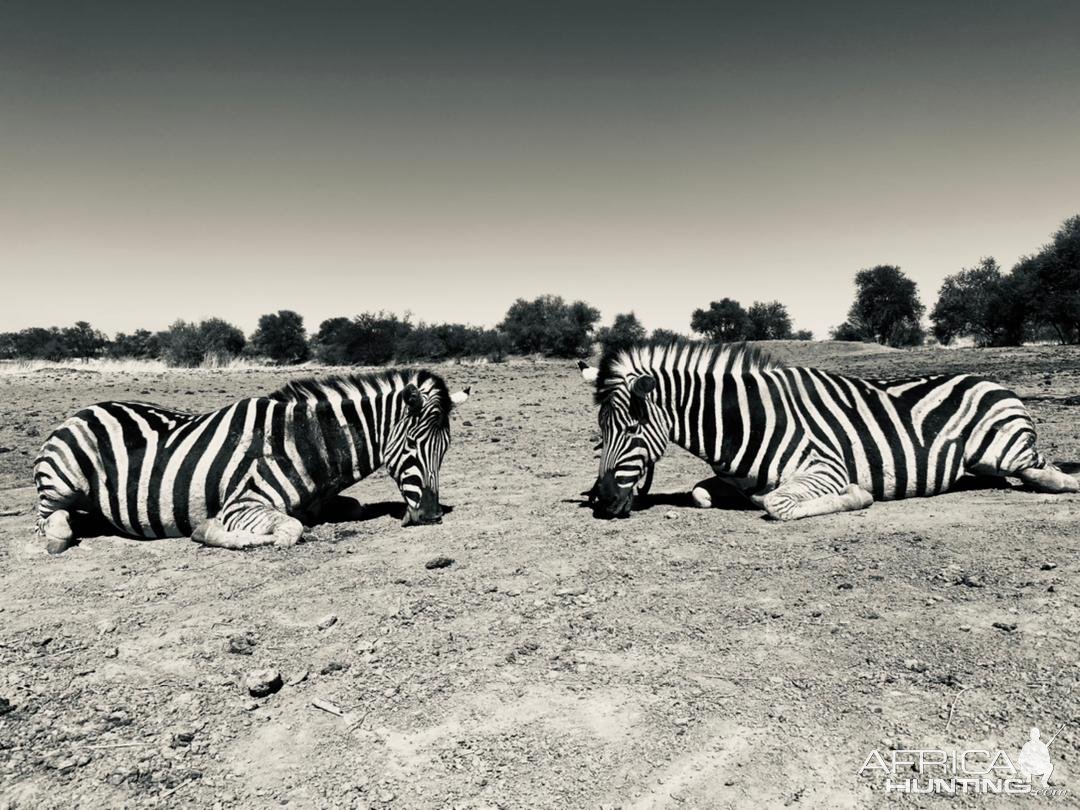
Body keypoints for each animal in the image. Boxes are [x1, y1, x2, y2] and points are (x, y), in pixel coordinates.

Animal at [33, 371, 468, 557]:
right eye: (411, 444)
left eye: (446, 448)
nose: (431, 515)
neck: (306, 443)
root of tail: (85, 408)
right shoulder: (242, 502)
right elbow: (290, 530)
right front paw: (208, 530)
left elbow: (351, 507)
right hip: (63, 478)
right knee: (46, 519)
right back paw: (58, 535)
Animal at [583, 341, 1080, 520]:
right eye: (600, 432)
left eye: (633, 427)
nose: (601, 500)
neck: (743, 423)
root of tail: (992, 380)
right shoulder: (727, 479)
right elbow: (702, 492)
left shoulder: (826, 467)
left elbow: (779, 504)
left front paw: (857, 495)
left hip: (1009, 449)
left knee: (1050, 474)